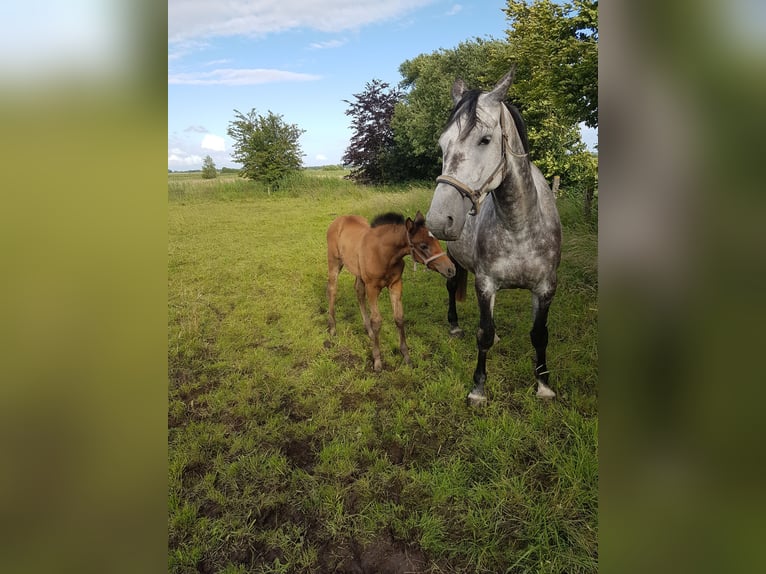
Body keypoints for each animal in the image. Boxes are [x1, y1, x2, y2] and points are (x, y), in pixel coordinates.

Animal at [426, 67, 564, 408]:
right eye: (442, 144)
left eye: (485, 139)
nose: (438, 220)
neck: (519, 226)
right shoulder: (485, 283)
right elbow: (484, 334)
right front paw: (478, 389)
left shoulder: (546, 288)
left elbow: (539, 334)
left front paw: (543, 385)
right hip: (455, 261)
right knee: (452, 288)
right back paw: (454, 325)